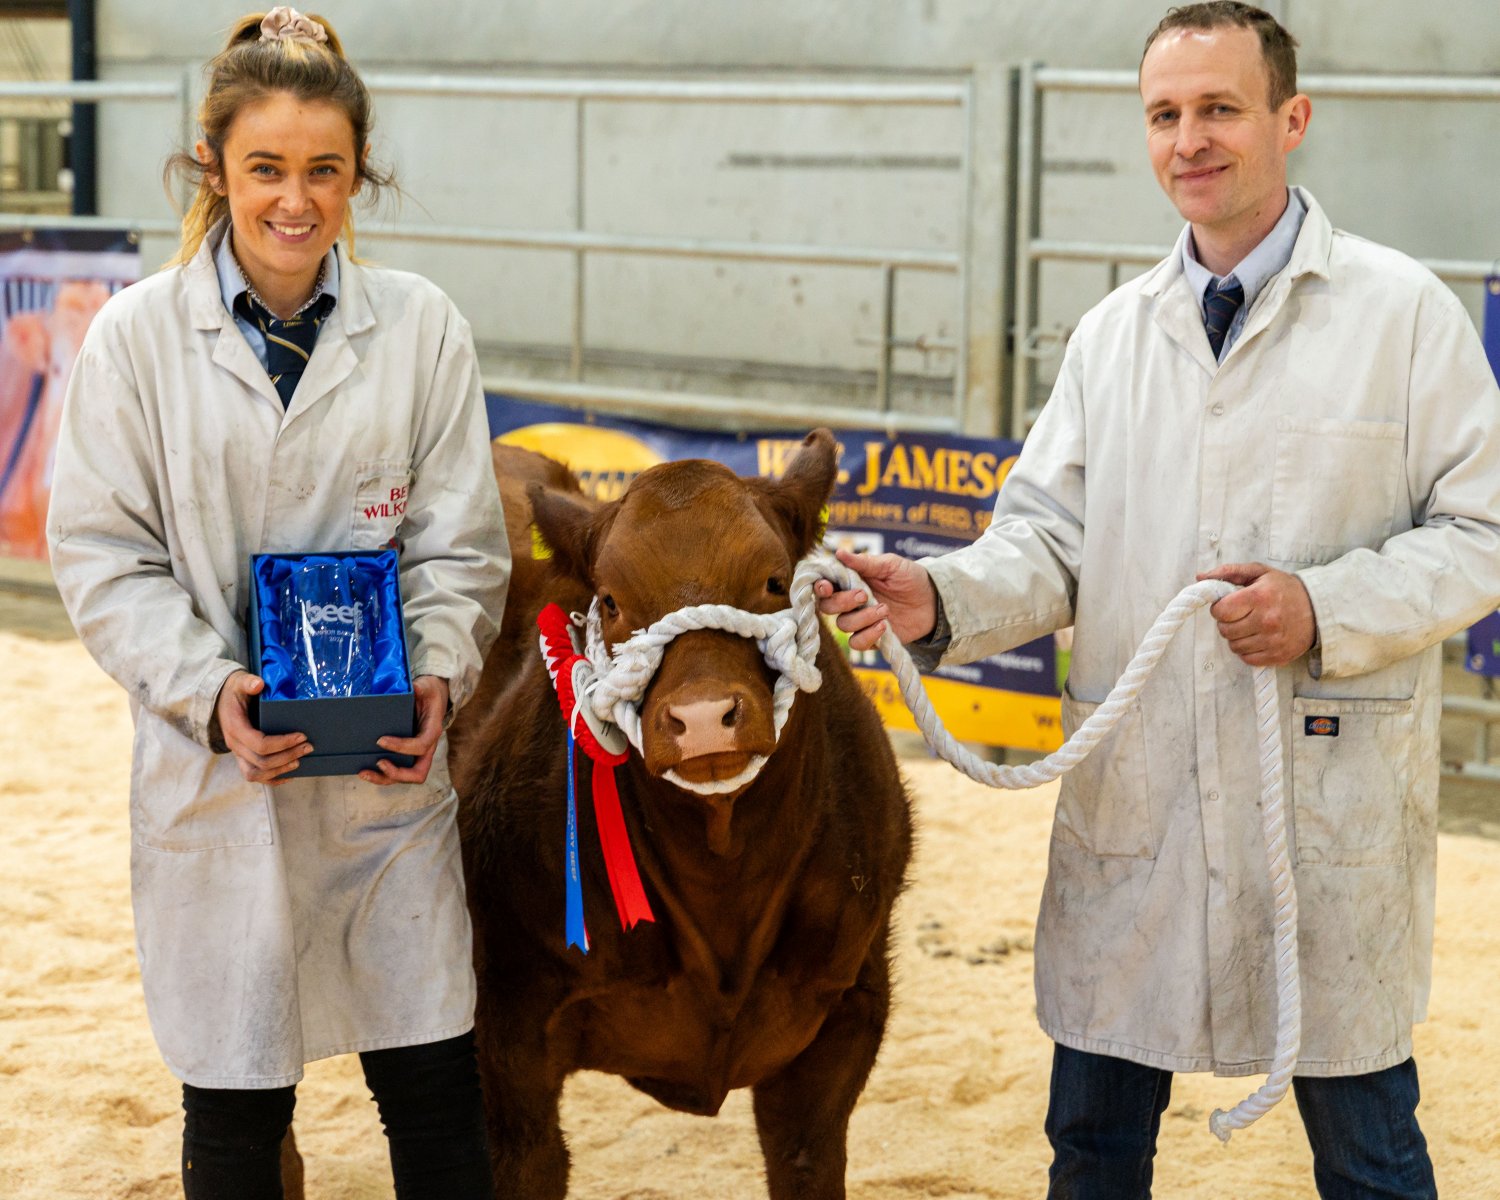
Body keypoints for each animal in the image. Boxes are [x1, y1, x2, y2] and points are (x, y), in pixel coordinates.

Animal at [449, 428, 914, 1199]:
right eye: (610, 600)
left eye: (773, 580)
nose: (702, 719)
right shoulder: (503, 1038)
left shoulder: (845, 1015)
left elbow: (805, 1160)